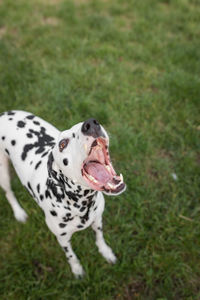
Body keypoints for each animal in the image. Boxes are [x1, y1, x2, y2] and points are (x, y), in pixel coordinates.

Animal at [0, 109, 125, 276]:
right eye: (62, 144)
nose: (91, 124)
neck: (80, 204)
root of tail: (5, 113)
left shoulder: (97, 220)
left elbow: (100, 238)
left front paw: (106, 252)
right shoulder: (62, 238)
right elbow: (70, 255)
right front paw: (76, 269)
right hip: (3, 174)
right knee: (9, 193)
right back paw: (19, 212)